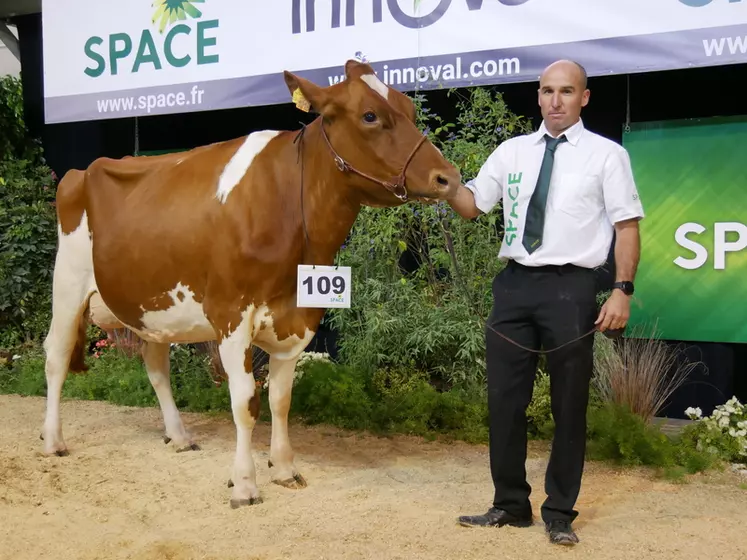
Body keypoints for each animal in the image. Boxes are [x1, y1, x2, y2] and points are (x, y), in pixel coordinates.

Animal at [41, 60, 462, 508]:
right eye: (369, 115)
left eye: (410, 110)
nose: (448, 178)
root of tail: (82, 170)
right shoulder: (231, 315)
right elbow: (245, 401)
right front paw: (244, 483)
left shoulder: (299, 315)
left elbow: (280, 398)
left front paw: (284, 467)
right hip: (67, 283)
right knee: (56, 356)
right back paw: (53, 440)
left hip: (152, 307)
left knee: (155, 366)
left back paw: (179, 435)